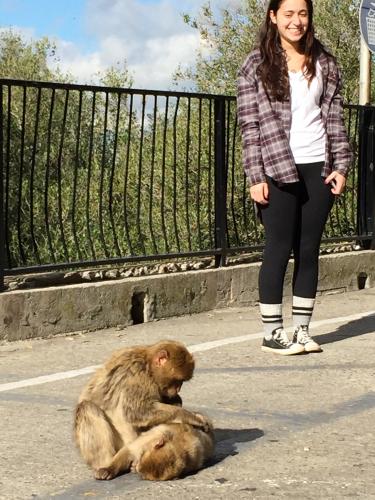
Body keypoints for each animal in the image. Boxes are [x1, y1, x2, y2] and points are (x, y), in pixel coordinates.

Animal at [74, 342, 212, 478]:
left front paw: (178, 401)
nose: (178, 389)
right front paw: (191, 417)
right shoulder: (138, 378)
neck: (148, 365)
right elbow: (138, 412)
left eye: (182, 381)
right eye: (177, 380)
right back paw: (107, 464)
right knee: (87, 407)